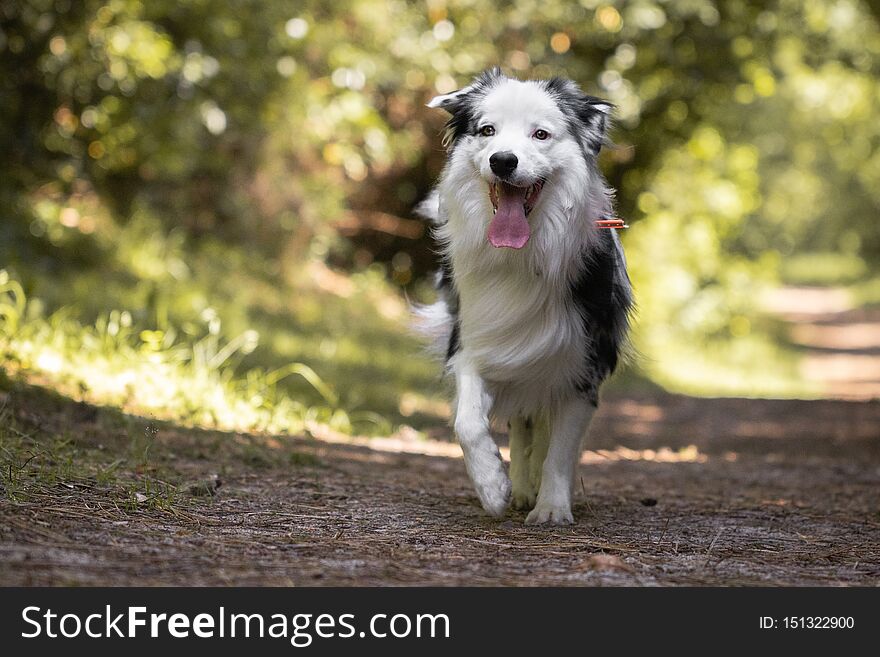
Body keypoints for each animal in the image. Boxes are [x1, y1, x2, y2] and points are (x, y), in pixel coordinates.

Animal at [418, 69, 632, 524]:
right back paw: (518, 488)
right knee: (522, 423)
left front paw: (552, 507)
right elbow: (468, 423)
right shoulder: (474, 340)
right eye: (487, 131)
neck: (523, 253)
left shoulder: (583, 364)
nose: (503, 160)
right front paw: (493, 487)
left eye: (541, 134)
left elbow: (561, 450)